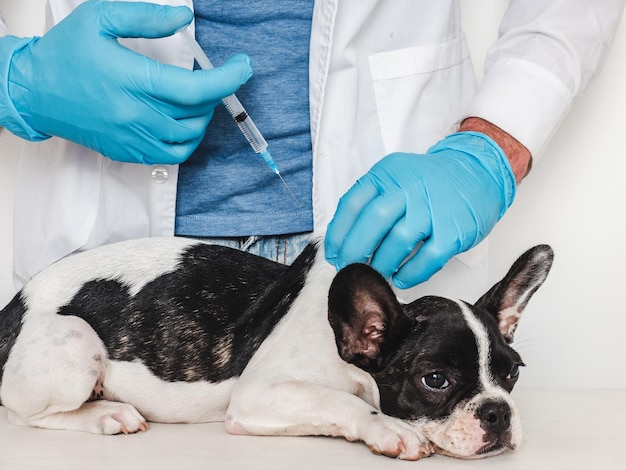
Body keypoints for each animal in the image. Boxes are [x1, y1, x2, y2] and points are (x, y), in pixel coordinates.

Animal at [0, 235, 552, 458]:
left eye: (512, 374)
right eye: (435, 380)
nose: (499, 413)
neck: (341, 343)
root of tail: (13, 308)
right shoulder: (261, 395)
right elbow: (345, 403)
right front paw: (389, 430)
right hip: (75, 341)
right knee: (28, 416)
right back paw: (106, 414)